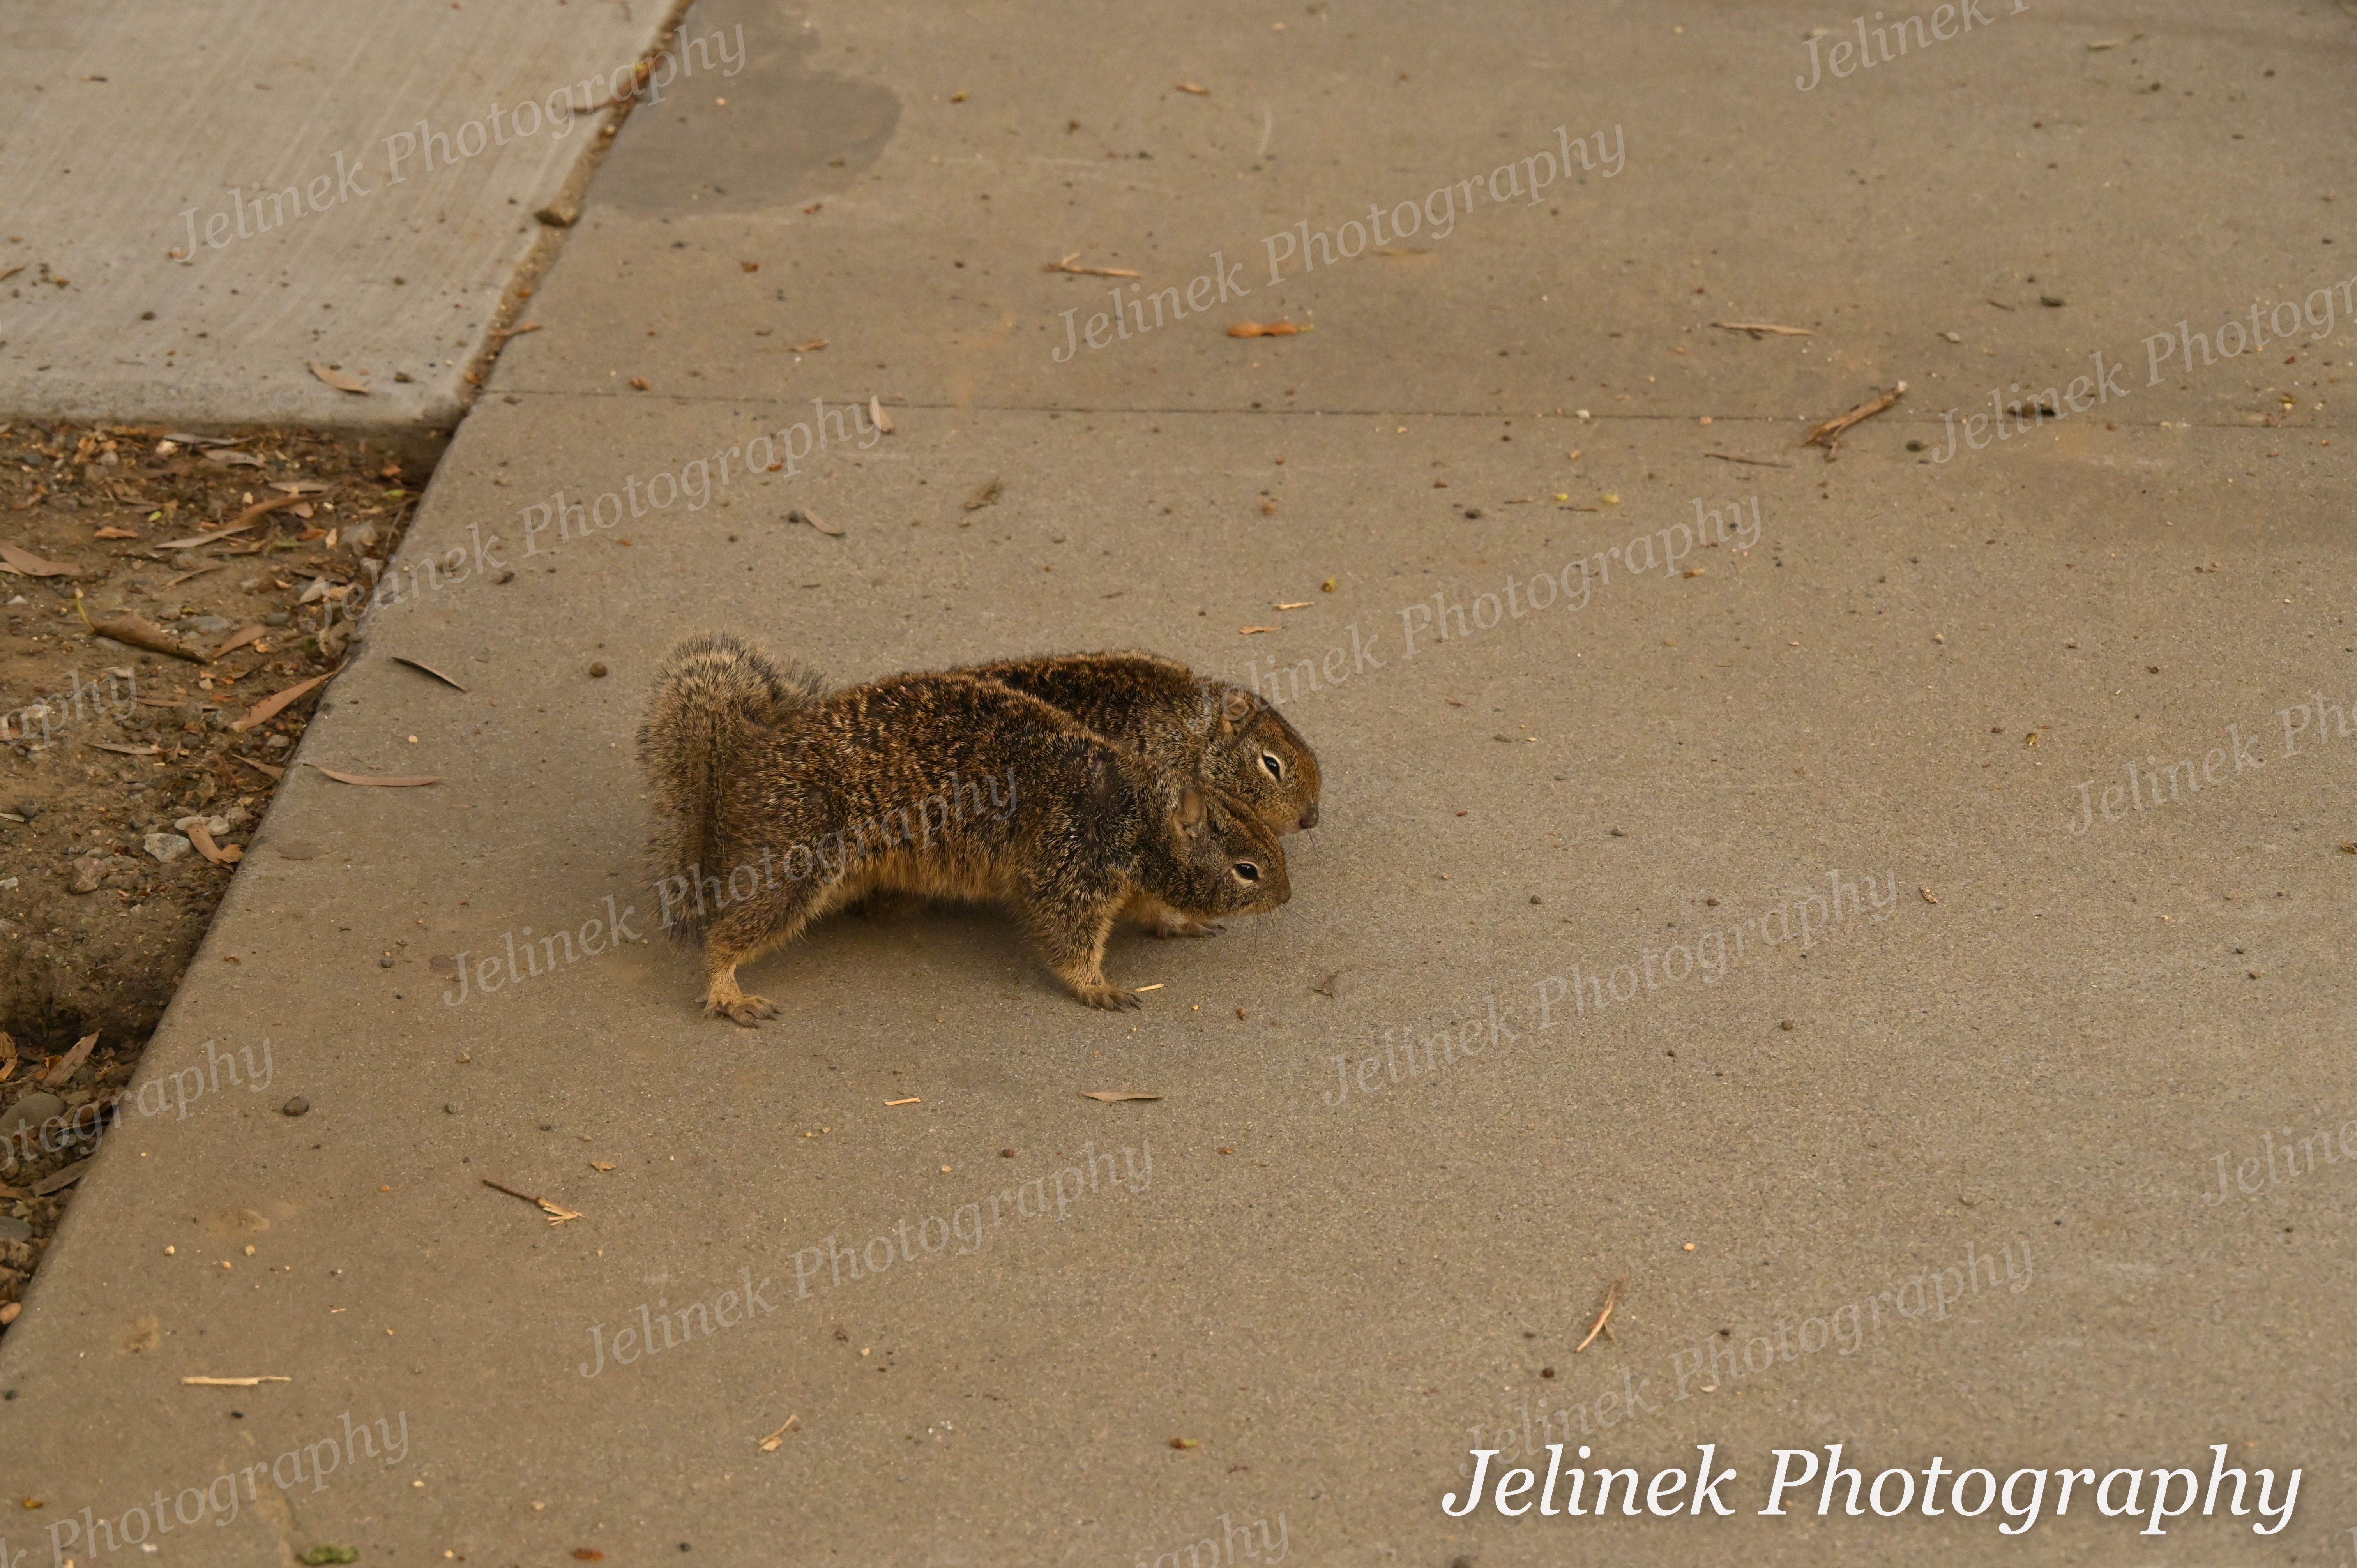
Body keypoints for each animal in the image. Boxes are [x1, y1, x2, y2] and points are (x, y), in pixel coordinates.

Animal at [638, 632, 1290, 1023]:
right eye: (1248, 870)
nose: (1286, 897)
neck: (1140, 814)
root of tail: (744, 761)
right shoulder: (1074, 861)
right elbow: (1067, 936)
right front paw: (1097, 986)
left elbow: (1151, 908)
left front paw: (1179, 922)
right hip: (794, 860)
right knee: (731, 932)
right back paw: (727, 989)